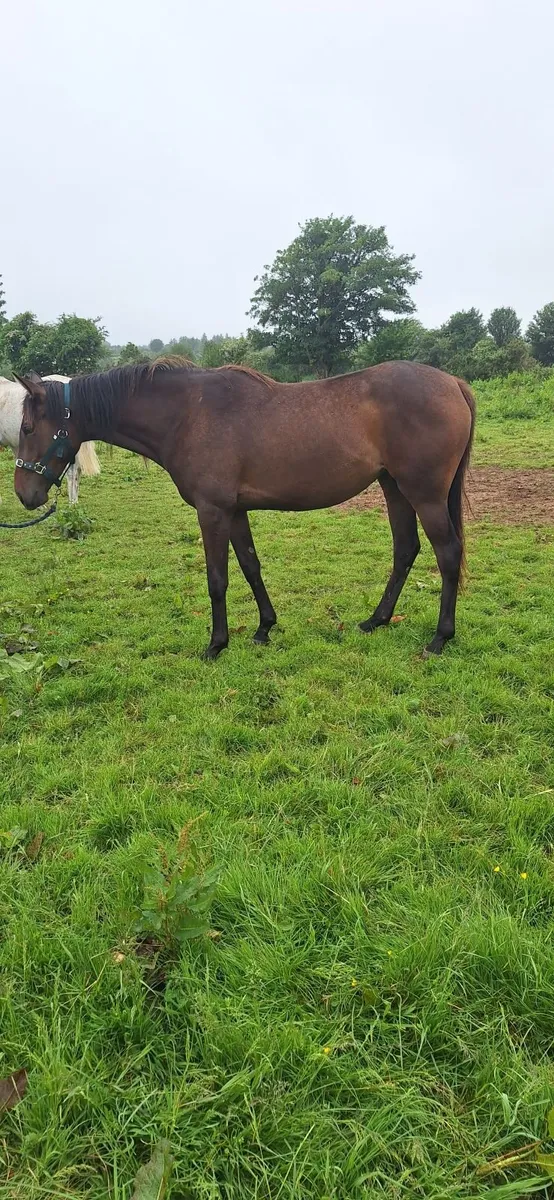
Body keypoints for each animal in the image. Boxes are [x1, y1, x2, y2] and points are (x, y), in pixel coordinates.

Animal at [12, 358, 475, 659]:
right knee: (406, 550)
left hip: (424, 494)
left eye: (28, 427)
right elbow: (251, 566)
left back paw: (440, 638)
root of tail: (453, 382)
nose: (24, 495)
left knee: (447, 553)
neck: (188, 414)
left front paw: (216, 644)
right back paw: (376, 620)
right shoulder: (234, 511)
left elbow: (218, 579)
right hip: (394, 488)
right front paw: (264, 628)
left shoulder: (212, 511)